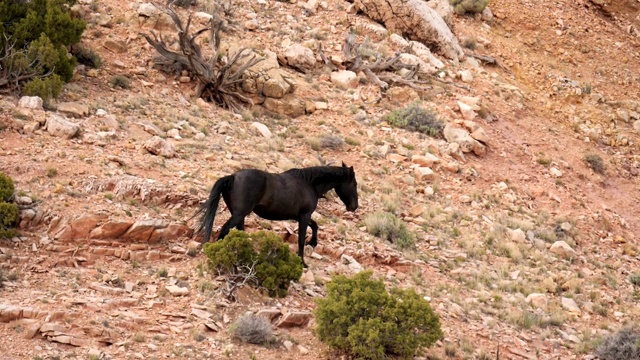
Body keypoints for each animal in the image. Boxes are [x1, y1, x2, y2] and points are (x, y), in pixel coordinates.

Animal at [198, 162, 358, 266]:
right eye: (355, 184)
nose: (354, 207)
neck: (309, 183)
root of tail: (233, 177)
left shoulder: (301, 216)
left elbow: (315, 225)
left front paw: (313, 243)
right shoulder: (304, 216)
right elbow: (301, 239)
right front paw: (302, 262)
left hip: (239, 215)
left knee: (238, 230)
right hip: (239, 214)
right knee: (225, 229)